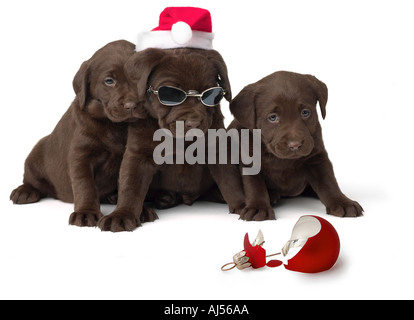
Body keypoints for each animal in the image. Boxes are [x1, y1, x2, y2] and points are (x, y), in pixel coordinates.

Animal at [98, 47, 246, 231]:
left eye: (210, 95)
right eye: (171, 94)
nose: (193, 122)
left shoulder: (217, 149)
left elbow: (230, 180)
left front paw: (244, 204)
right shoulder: (138, 155)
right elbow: (130, 186)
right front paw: (122, 214)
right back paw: (164, 198)